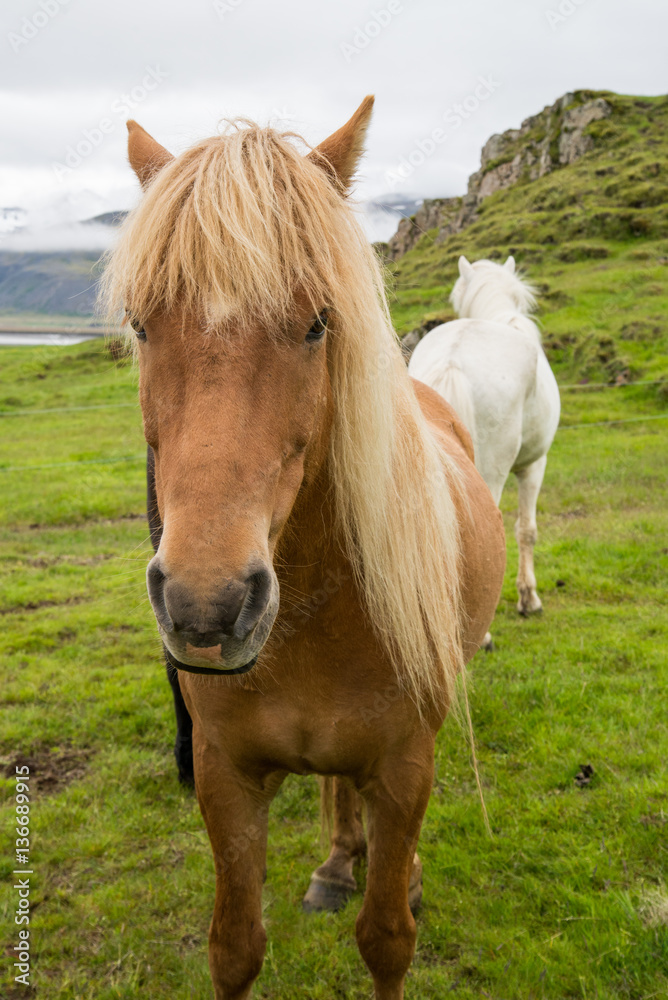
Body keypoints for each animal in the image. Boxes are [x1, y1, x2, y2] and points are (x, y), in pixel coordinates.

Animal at [102, 97, 506, 1000]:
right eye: (142, 326)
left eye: (319, 322)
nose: (208, 605)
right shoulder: (225, 776)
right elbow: (233, 945)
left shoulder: (405, 769)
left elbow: (387, 937)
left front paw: (394, 887)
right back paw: (336, 862)